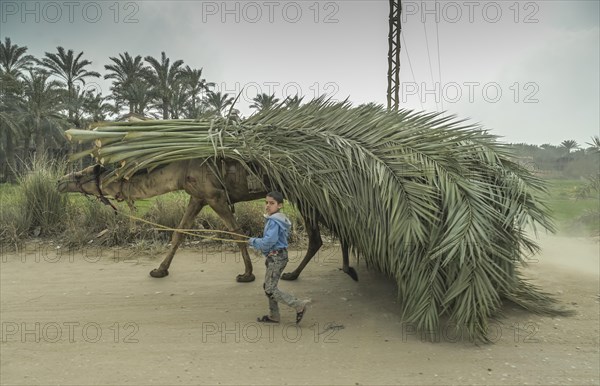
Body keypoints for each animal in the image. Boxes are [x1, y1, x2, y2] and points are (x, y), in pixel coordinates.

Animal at [56, 158, 358, 282]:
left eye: (81, 174)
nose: (59, 182)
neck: (179, 170)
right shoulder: (197, 197)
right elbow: (178, 232)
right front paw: (159, 270)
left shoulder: (215, 197)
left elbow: (236, 232)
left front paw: (247, 274)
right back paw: (335, 268)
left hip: (306, 193)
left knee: (326, 232)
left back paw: (297, 273)